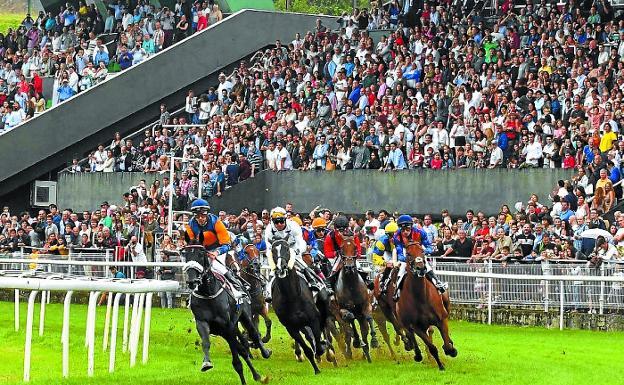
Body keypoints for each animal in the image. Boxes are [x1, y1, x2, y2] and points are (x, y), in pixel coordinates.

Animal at [179, 244, 270, 382]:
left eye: (201, 254)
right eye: (186, 255)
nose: (192, 281)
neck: (208, 293)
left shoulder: (230, 326)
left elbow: (238, 358)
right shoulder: (203, 323)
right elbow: (206, 342)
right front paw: (206, 363)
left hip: (244, 317)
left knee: (253, 333)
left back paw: (265, 353)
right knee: (243, 345)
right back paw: (256, 372)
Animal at [270, 237, 336, 372]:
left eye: (286, 248)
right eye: (273, 250)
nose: (281, 267)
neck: (292, 297)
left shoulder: (313, 319)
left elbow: (319, 343)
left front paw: (324, 350)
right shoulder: (291, 327)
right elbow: (308, 349)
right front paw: (316, 370)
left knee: (325, 328)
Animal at [394, 242, 458, 370]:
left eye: (422, 251)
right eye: (408, 254)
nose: (421, 268)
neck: (421, 297)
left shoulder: (442, 319)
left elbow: (447, 344)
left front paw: (451, 349)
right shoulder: (417, 326)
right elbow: (431, 347)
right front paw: (441, 366)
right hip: (405, 321)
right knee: (410, 334)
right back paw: (417, 355)